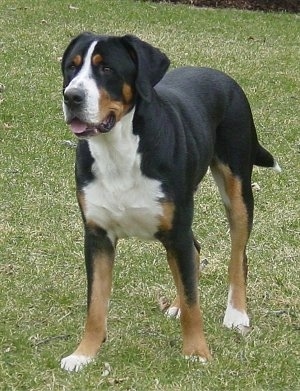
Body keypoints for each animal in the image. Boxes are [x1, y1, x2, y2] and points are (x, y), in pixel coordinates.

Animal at [59, 32, 280, 372]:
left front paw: (197, 352)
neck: (118, 151)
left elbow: (193, 301)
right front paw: (84, 354)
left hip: (237, 190)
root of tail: (220, 75)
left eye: (107, 69)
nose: (72, 97)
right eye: (72, 67)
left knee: (237, 256)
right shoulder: (98, 236)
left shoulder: (176, 230)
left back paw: (236, 313)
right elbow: (95, 304)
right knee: (194, 252)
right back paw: (176, 305)